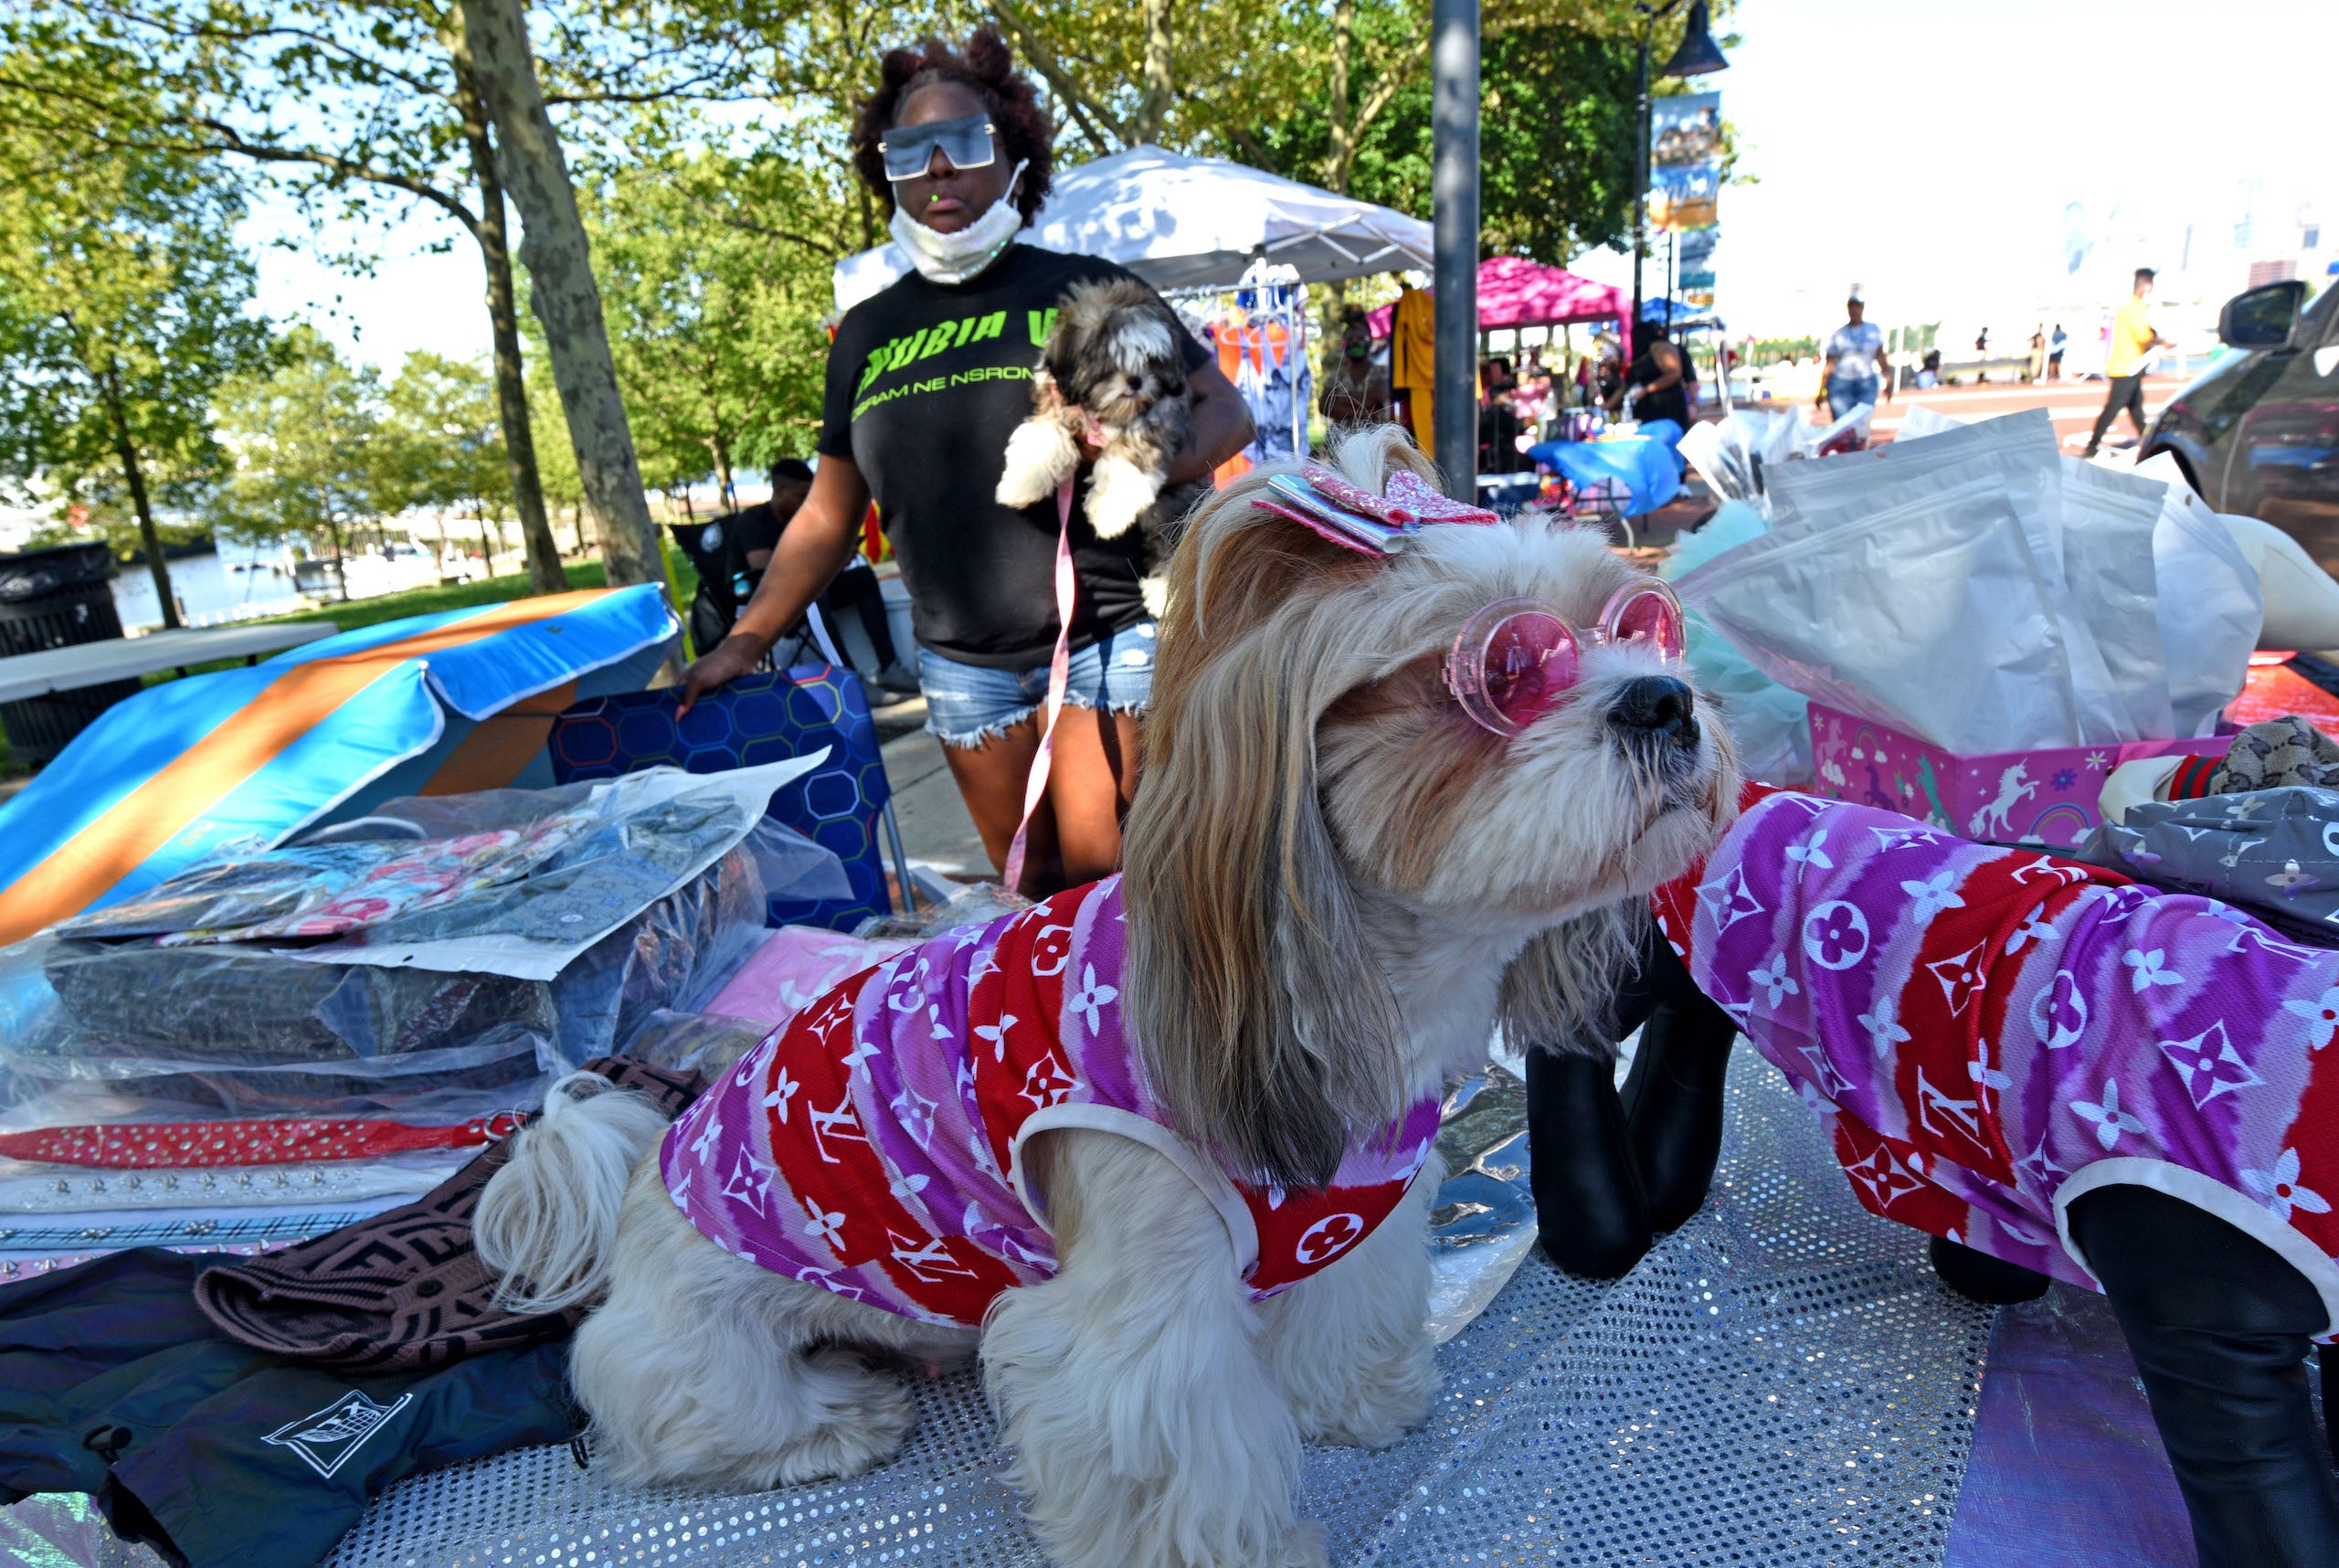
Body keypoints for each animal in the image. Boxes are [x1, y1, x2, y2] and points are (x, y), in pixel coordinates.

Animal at [479, 426, 1740, 1568]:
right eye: (1506, 671)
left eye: (1641, 626)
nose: (1664, 699)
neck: (1345, 977)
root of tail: (628, 1179)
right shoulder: (1140, 1328)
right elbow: (1174, 1460)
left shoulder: (1355, 1216)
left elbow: (1344, 1311)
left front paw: (1357, 1401)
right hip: (707, 1356)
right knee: (682, 1419)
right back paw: (832, 1421)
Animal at [991, 273, 1206, 613]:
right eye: (1109, 360)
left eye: (1151, 361)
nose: (1135, 382)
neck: (1103, 411)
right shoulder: (1055, 405)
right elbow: (1041, 439)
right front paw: (1021, 484)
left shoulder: (1154, 423)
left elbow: (1122, 466)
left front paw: (1107, 513)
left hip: (1178, 508)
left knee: (1173, 542)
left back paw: (1164, 595)